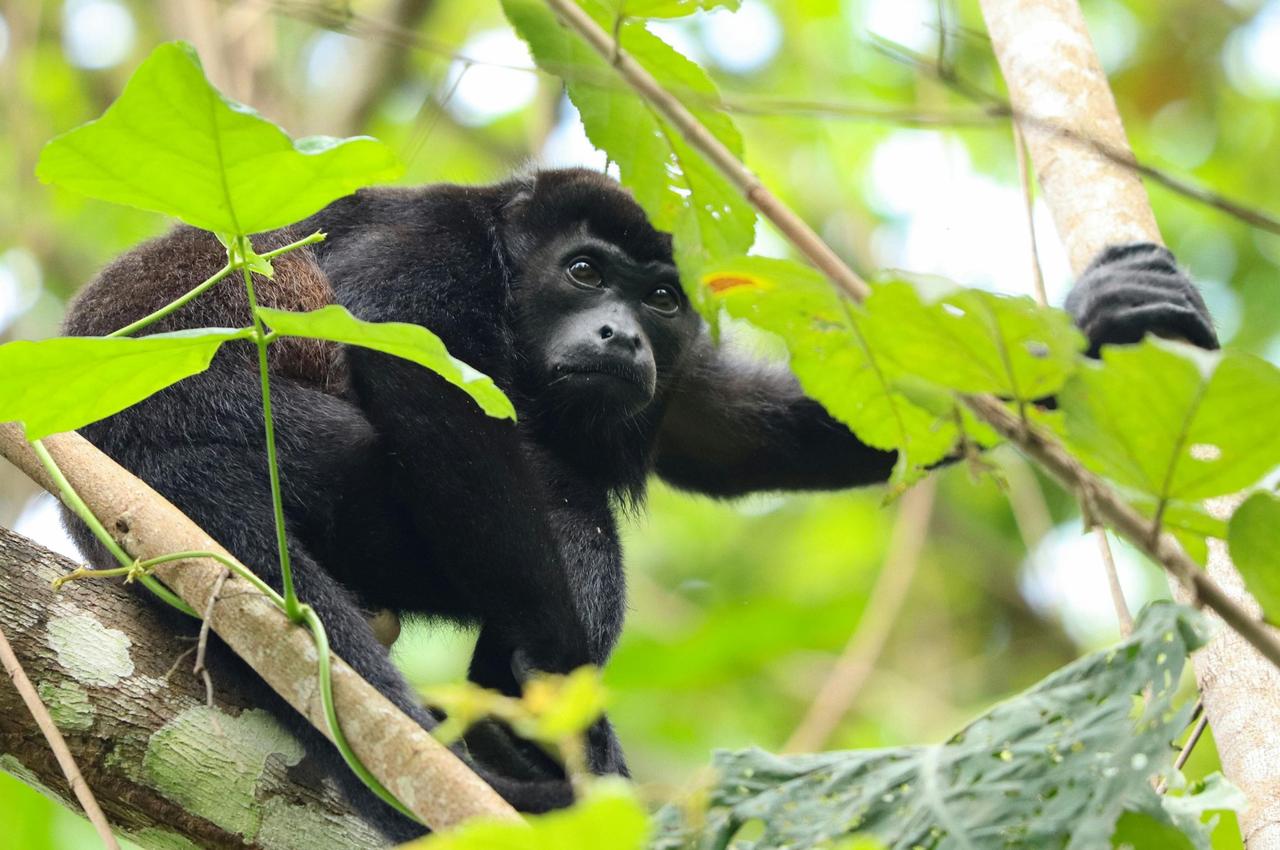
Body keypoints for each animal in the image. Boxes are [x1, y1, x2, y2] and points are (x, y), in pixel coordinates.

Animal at [59, 168, 1216, 841]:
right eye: (584, 273)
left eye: (658, 298)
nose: (620, 334)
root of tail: (126, 470)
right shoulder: (427, 244)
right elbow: (424, 385)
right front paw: (571, 716)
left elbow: (724, 431)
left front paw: (1087, 332)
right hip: (277, 451)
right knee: (561, 502)